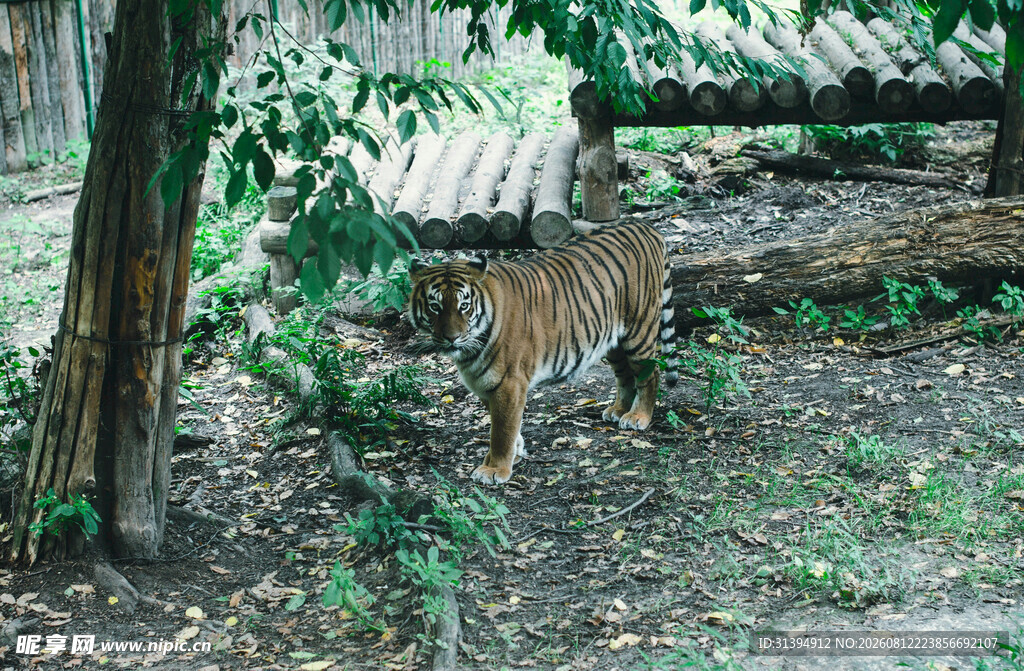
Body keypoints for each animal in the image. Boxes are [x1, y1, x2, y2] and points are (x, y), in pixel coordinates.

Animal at [407, 221, 679, 485]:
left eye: (463, 306)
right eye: (435, 307)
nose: (451, 338)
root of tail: (645, 225)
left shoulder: (510, 383)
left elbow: (501, 430)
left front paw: (494, 469)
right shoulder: (487, 383)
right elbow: (505, 425)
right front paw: (515, 453)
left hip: (639, 329)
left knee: (651, 372)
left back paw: (638, 417)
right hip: (613, 341)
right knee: (625, 375)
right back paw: (619, 410)